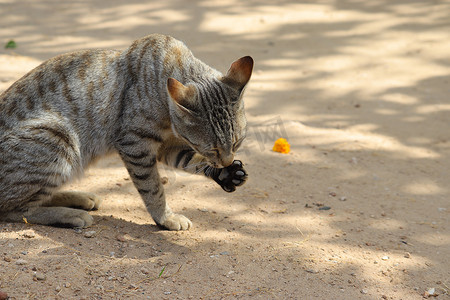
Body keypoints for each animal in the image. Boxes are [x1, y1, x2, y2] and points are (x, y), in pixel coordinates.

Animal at [0, 33, 253, 230]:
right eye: (212, 148)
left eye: (237, 143)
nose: (226, 161)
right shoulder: (135, 143)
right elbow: (153, 188)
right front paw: (165, 218)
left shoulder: (166, 146)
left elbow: (192, 161)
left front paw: (226, 173)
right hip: (58, 138)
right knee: (14, 209)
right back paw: (71, 214)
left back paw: (80, 198)